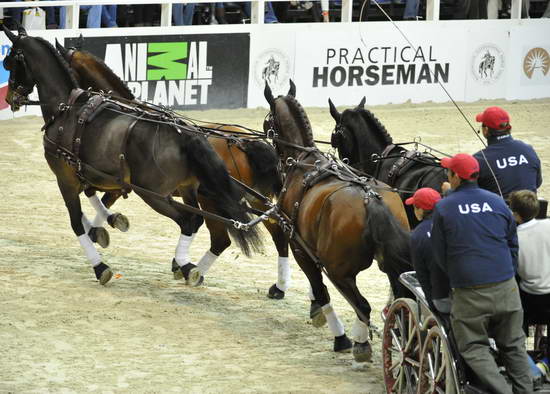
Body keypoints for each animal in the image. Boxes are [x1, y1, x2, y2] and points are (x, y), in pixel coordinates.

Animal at [2, 28, 262, 286]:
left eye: (9, 62)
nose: (10, 98)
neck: (66, 107)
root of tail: (185, 133)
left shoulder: (67, 178)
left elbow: (77, 222)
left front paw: (100, 263)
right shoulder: (94, 174)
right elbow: (92, 201)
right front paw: (107, 224)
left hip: (157, 195)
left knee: (191, 222)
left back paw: (186, 265)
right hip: (188, 189)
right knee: (197, 223)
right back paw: (187, 266)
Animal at [54, 40, 292, 298]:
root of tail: (246, 142)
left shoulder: (118, 182)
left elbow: (97, 200)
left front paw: (99, 229)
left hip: (216, 200)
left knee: (226, 238)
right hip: (252, 199)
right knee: (273, 232)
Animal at [266, 81, 412, 362]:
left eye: (268, 119)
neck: (304, 162)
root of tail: (370, 199)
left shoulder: (300, 247)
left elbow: (320, 290)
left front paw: (335, 331)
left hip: (339, 271)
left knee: (362, 304)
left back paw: (361, 343)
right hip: (392, 266)